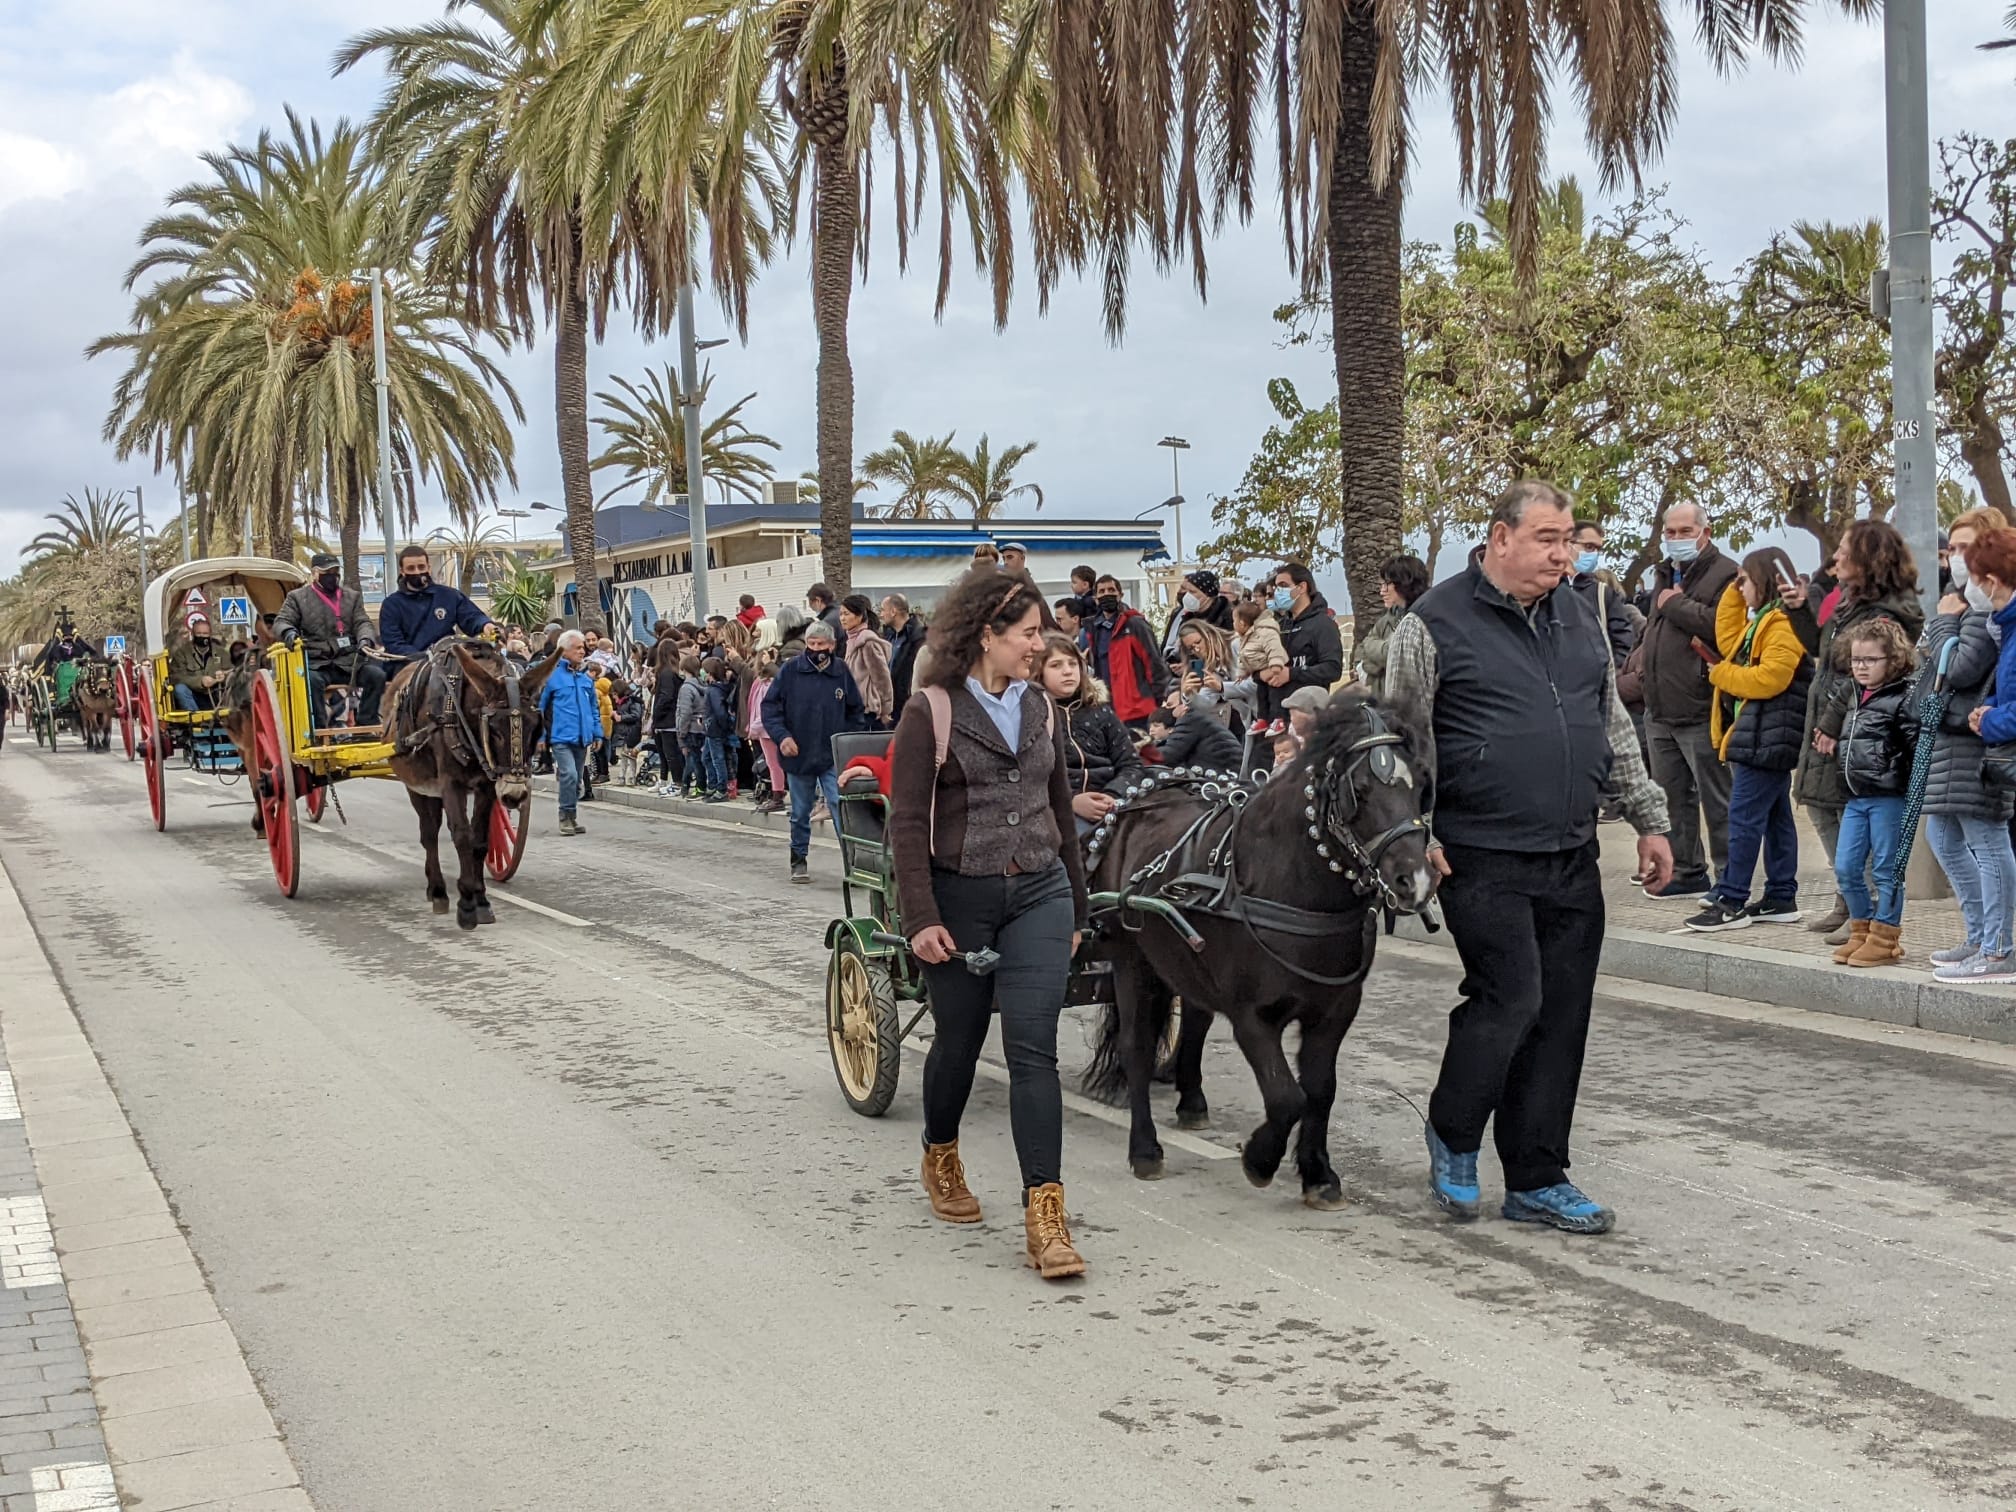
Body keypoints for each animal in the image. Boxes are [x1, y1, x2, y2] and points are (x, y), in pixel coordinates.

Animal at [1088, 697, 1435, 1209]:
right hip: (1131, 956)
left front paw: (1318, 1174)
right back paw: (1145, 1149)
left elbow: (1320, 1090)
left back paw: (1191, 1101)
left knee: (1194, 1023)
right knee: (1137, 1046)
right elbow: (1287, 1097)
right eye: (1361, 790)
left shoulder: (1334, 1012)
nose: (1418, 881)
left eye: (1422, 787)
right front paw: (1259, 1159)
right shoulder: (1252, 1016)